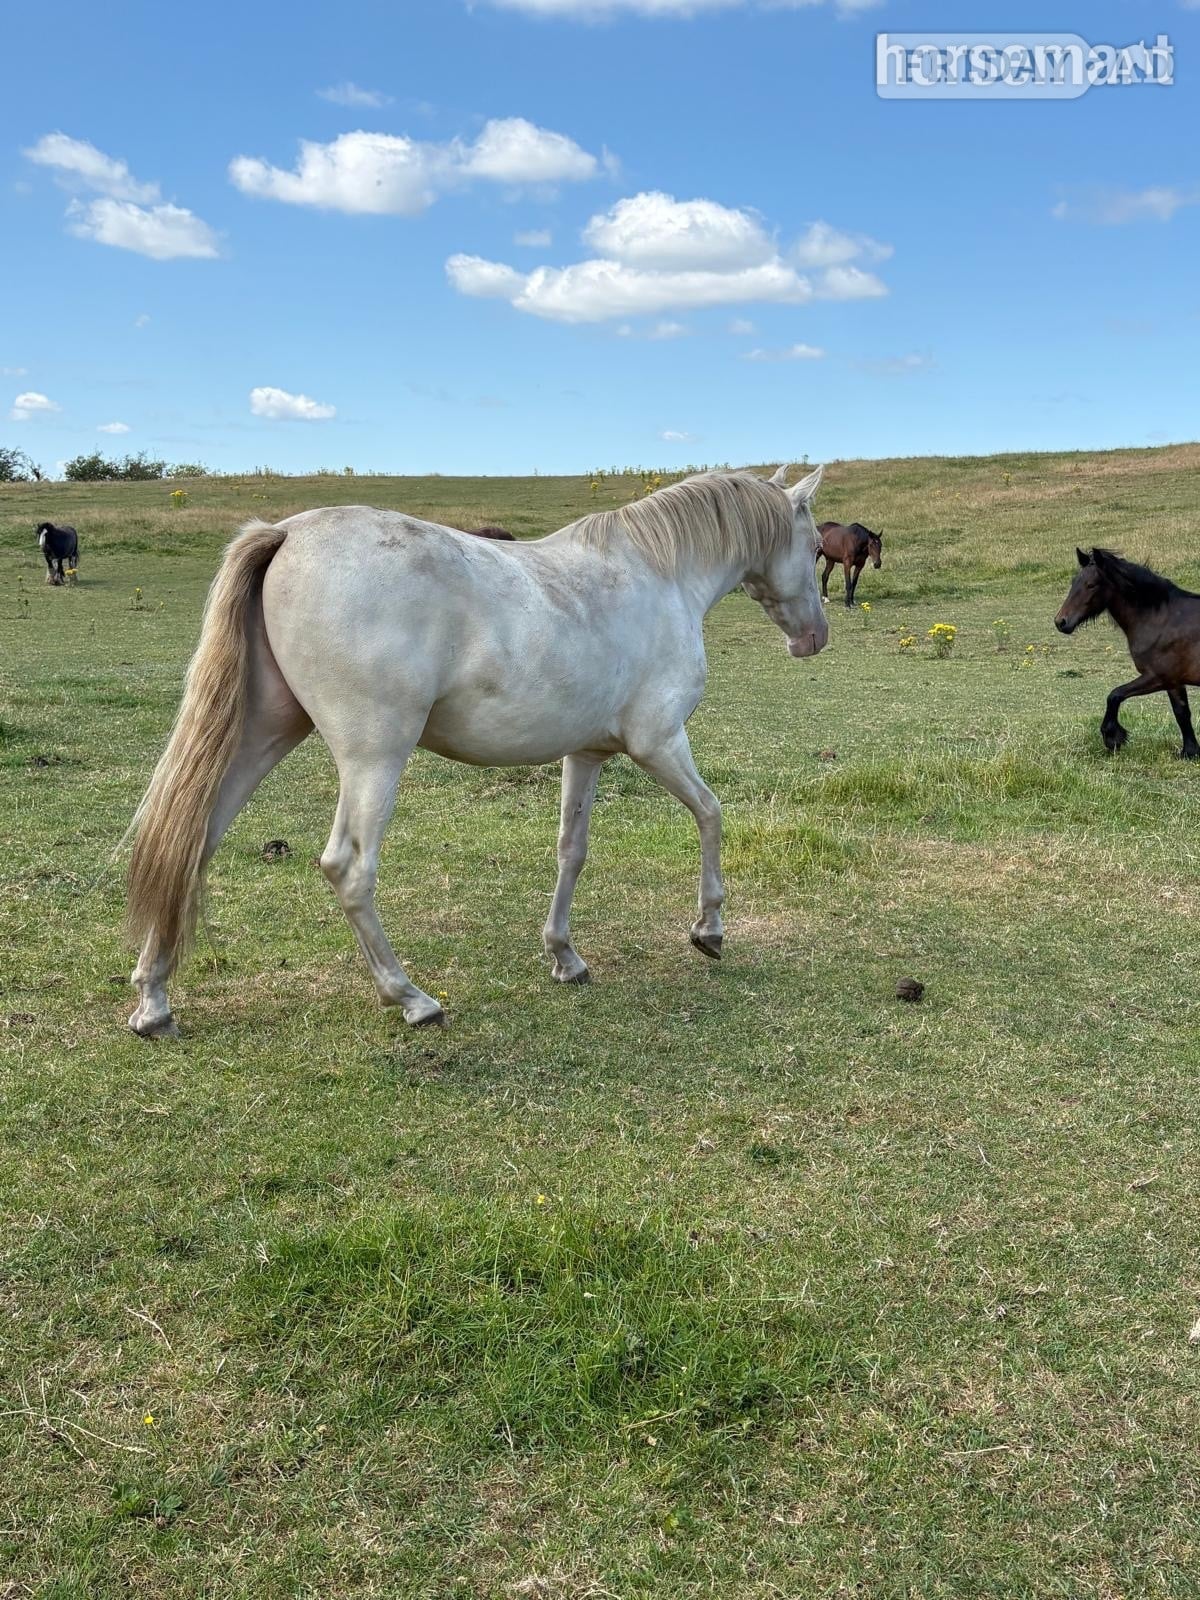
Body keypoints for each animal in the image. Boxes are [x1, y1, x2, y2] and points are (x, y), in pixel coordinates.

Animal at [125, 463, 829, 1038]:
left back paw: (154, 1002)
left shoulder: (586, 754)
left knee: (191, 840)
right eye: (818, 546)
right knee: (349, 868)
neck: (659, 575)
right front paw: (709, 930)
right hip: (374, 757)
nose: (814, 639)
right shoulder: (659, 743)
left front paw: (564, 955)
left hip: (263, 735)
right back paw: (411, 998)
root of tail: (287, 534)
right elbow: (711, 814)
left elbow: (572, 851)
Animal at [1055, 547, 1200, 759]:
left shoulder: (1157, 677)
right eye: (1074, 582)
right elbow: (1182, 713)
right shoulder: (1174, 682)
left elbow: (1115, 695)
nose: (1061, 622)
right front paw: (1190, 752)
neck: (1162, 620)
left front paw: (1113, 737)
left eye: (1091, 585)